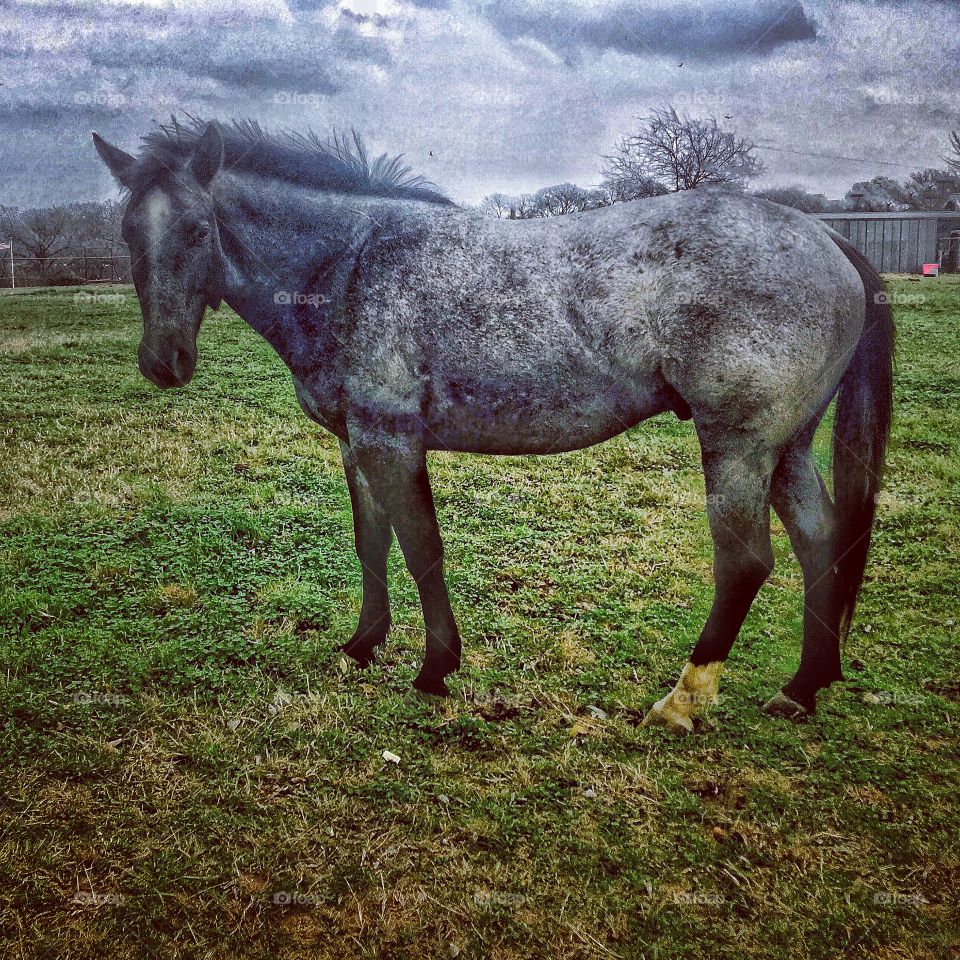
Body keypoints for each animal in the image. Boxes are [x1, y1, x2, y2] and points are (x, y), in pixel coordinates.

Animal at [92, 119, 893, 733]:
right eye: (128, 230)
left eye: (198, 228)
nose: (164, 362)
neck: (350, 263)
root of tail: (827, 241)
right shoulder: (356, 444)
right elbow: (371, 544)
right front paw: (362, 646)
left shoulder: (390, 441)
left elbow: (421, 548)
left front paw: (435, 668)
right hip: (787, 445)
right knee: (821, 539)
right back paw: (802, 688)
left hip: (738, 445)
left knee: (746, 562)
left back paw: (683, 700)